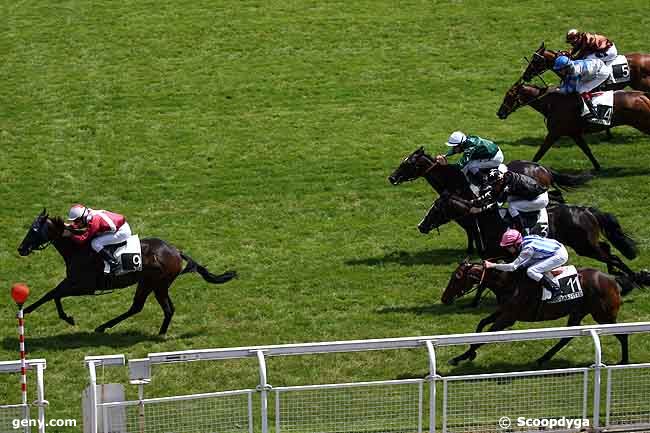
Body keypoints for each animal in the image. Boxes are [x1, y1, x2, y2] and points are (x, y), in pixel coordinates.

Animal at [16, 209, 237, 334]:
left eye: (34, 230)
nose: (21, 249)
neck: (78, 249)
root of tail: (176, 251)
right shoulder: (73, 282)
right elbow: (55, 294)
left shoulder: (84, 286)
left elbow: (53, 294)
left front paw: (27, 310)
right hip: (152, 284)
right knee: (148, 308)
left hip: (155, 283)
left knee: (156, 308)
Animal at [388, 147, 588, 251]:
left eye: (408, 163)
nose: (391, 178)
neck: (454, 179)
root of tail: (542, 167)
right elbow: (471, 230)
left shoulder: (467, 209)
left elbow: (471, 230)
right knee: (556, 196)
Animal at [440, 260, 632, 364]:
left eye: (457, 277)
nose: (444, 299)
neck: (509, 283)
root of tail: (613, 280)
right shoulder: (503, 311)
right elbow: (480, 325)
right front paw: (469, 354)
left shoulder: (508, 318)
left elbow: (485, 337)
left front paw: (460, 357)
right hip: (578, 312)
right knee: (566, 337)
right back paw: (543, 358)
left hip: (603, 315)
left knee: (623, 334)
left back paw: (624, 361)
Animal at [496, 82, 648, 170]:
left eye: (509, 95)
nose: (500, 113)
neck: (552, 103)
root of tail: (642, 95)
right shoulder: (574, 134)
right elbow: (587, 150)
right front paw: (598, 167)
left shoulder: (554, 133)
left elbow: (540, 153)